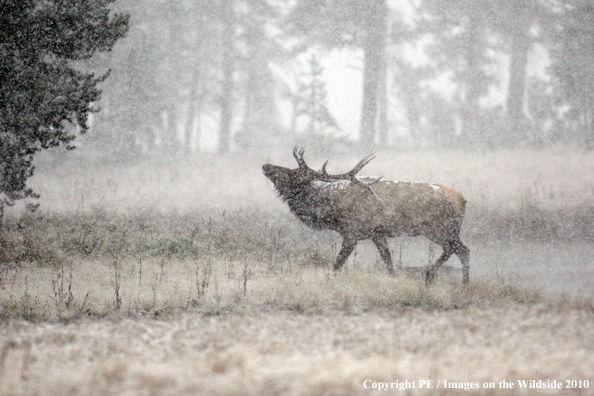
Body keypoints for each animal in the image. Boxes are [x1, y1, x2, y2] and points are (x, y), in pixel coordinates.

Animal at [262, 148, 470, 284]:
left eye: (292, 173)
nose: (266, 165)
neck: (333, 211)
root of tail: (463, 200)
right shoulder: (377, 233)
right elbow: (388, 261)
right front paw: (394, 279)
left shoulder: (352, 232)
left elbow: (337, 264)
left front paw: (329, 280)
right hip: (444, 230)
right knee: (459, 249)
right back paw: (459, 283)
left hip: (439, 229)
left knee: (460, 249)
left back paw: (433, 276)